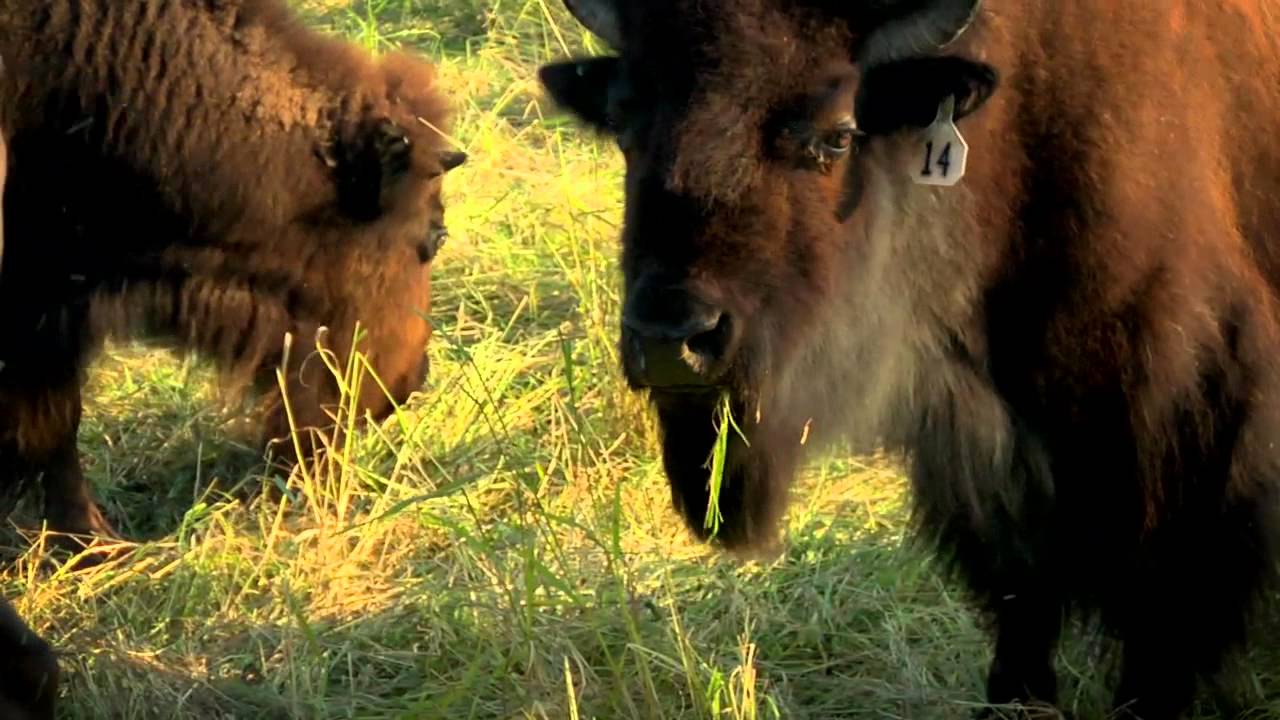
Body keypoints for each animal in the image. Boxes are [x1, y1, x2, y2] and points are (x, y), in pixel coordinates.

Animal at [540, 0, 1280, 717]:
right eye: (623, 125)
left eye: (837, 135)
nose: (674, 339)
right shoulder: (989, 473)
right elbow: (1023, 627)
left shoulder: (1190, 458)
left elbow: (1158, 642)